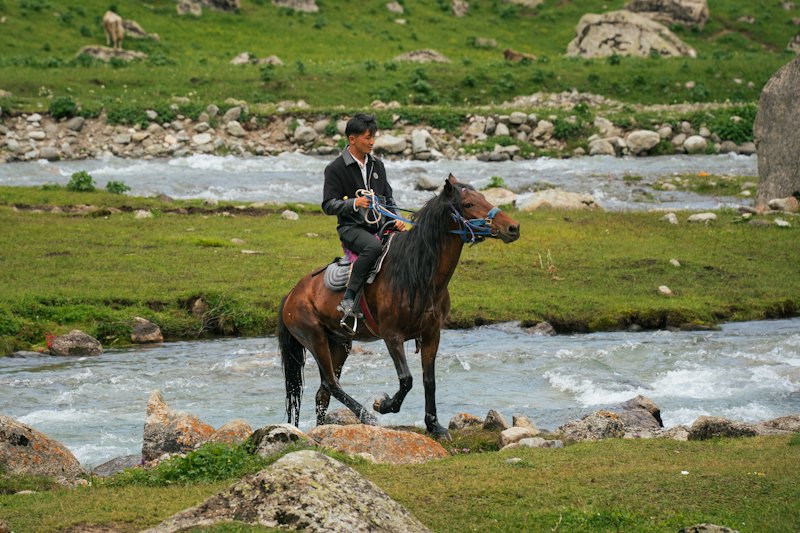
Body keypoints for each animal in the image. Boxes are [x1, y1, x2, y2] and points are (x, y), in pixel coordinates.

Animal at [278, 174, 520, 439]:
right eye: (467, 204)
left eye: (484, 197)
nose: (513, 228)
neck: (419, 276)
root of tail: (291, 294)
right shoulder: (392, 336)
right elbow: (407, 379)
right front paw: (383, 405)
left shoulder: (431, 334)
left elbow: (428, 380)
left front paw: (434, 426)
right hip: (315, 339)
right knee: (332, 383)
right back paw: (367, 416)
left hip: (340, 343)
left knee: (324, 390)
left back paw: (324, 428)